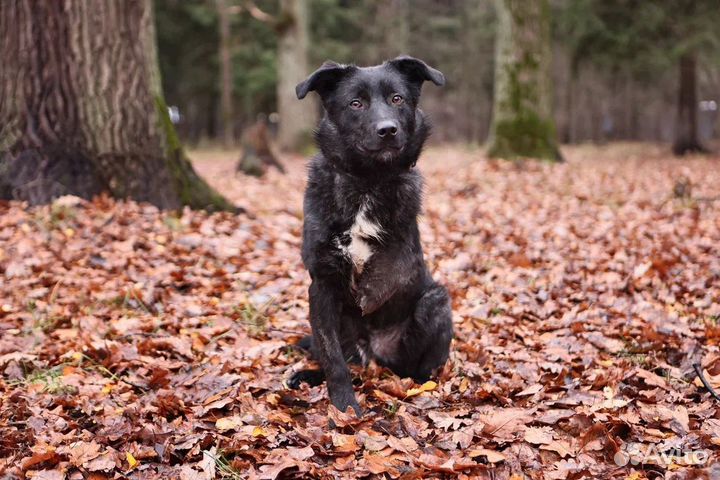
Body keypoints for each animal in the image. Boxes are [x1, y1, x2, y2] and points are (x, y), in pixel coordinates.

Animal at [286, 56, 450, 416]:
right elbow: (333, 361)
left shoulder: (409, 248)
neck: (368, 181)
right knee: (338, 358)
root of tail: (373, 354)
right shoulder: (320, 284)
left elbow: (394, 266)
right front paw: (345, 406)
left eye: (397, 99)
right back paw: (306, 375)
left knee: (418, 369)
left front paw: (369, 292)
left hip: (435, 302)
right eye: (356, 103)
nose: (387, 130)